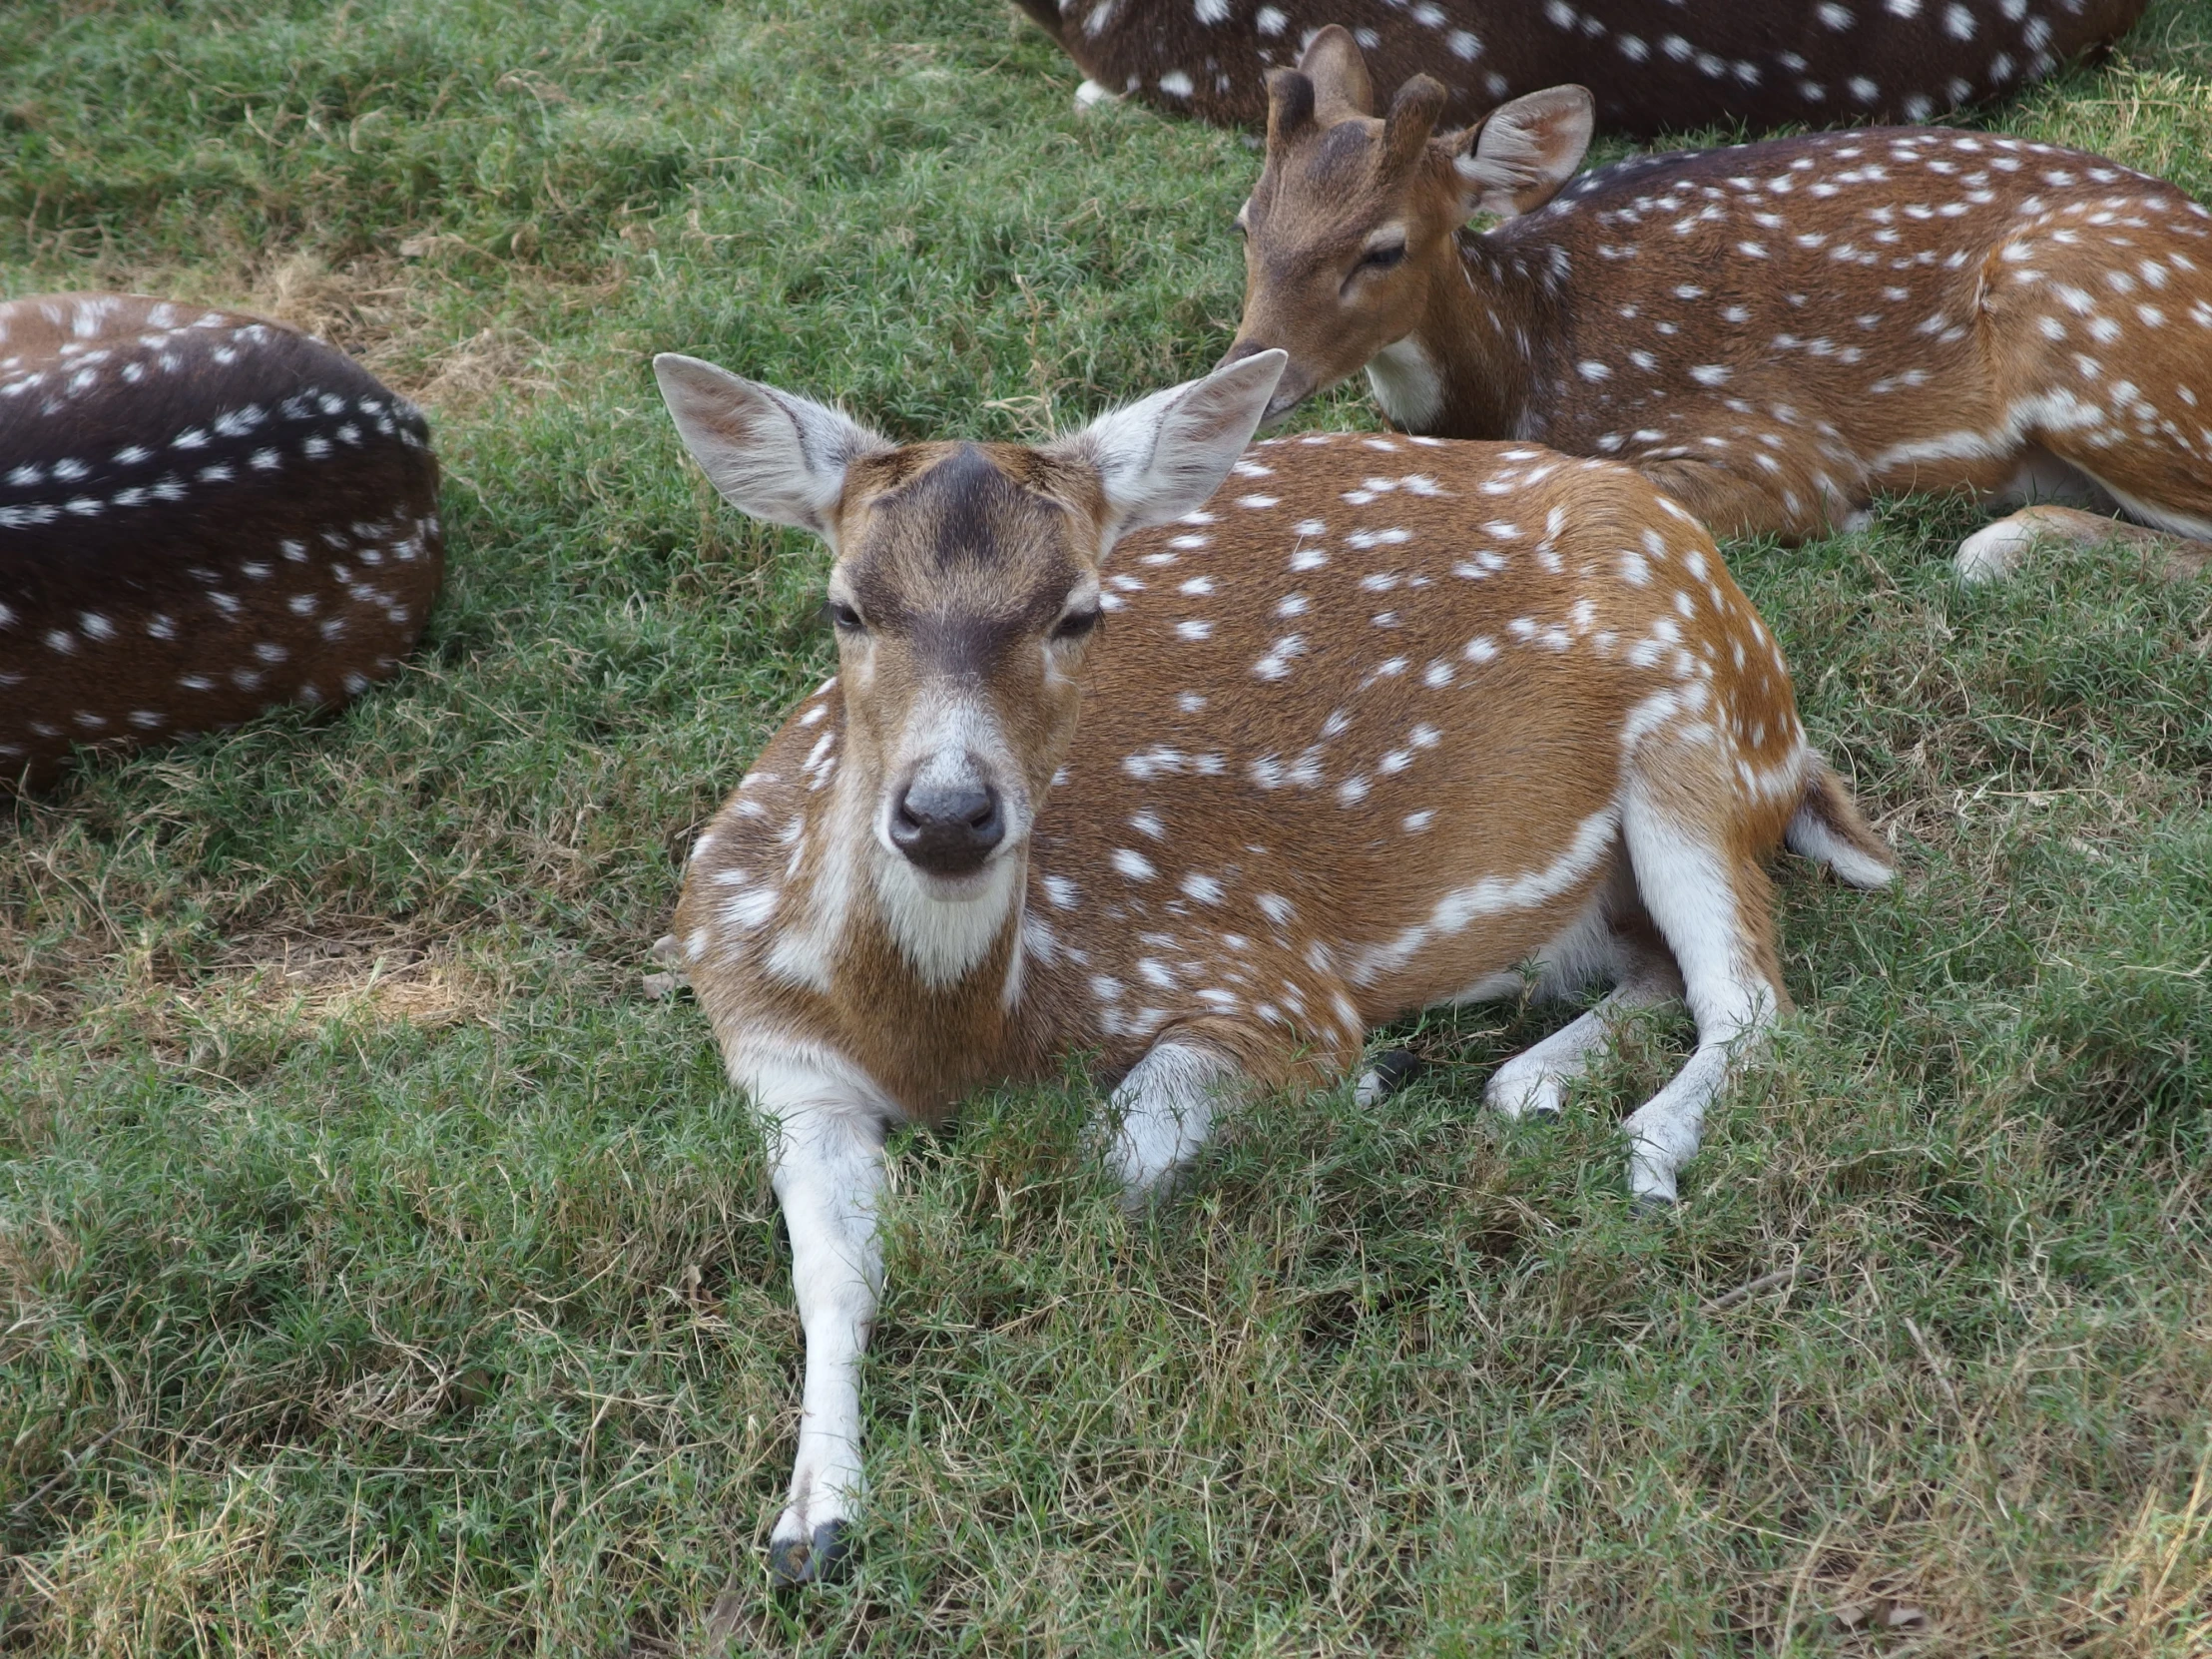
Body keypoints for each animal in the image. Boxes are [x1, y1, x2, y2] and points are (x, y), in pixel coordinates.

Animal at [646, 340, 1893, 1583]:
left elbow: (1112, 1155)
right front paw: (812, 1520)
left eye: (1079, 613)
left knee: (1749, 996)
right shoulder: (763, 1039)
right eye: (845, 607)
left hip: (1695, 730)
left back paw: (1636, 1149)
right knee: (1653, 976)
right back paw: (1531, 1082)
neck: (949, 1038)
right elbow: (832, 1271)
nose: (947, 814)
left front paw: (1362, 1080)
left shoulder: (1265, 973)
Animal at [1221, 26, 2212, 588]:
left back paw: (2000, 546)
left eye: (1383, 248)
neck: (1526, 358)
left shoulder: (1770, 441)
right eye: (1246, 222)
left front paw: (1854, 523)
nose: (1248, 377)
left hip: (2088, 333)